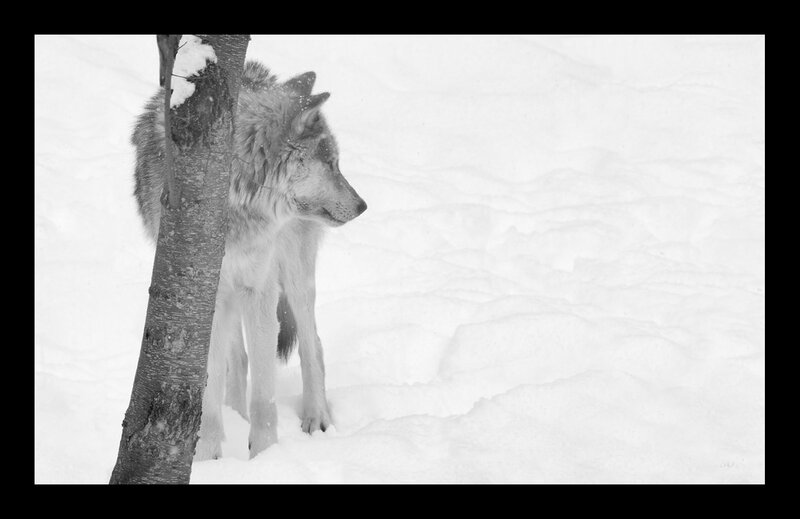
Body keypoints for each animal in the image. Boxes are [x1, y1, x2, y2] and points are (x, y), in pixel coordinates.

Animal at [132, 60, 367, 460]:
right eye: (332, 164)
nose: (363, 205)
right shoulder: (203, 297)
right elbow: (210, 386)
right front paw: (208, 456)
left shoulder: (259, 289)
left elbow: (264, 396)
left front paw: (265, 456)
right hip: (227, 297)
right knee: (236, 361)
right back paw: (234, 418)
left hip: (292, 277)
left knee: (313, 345)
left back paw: (316, 418)